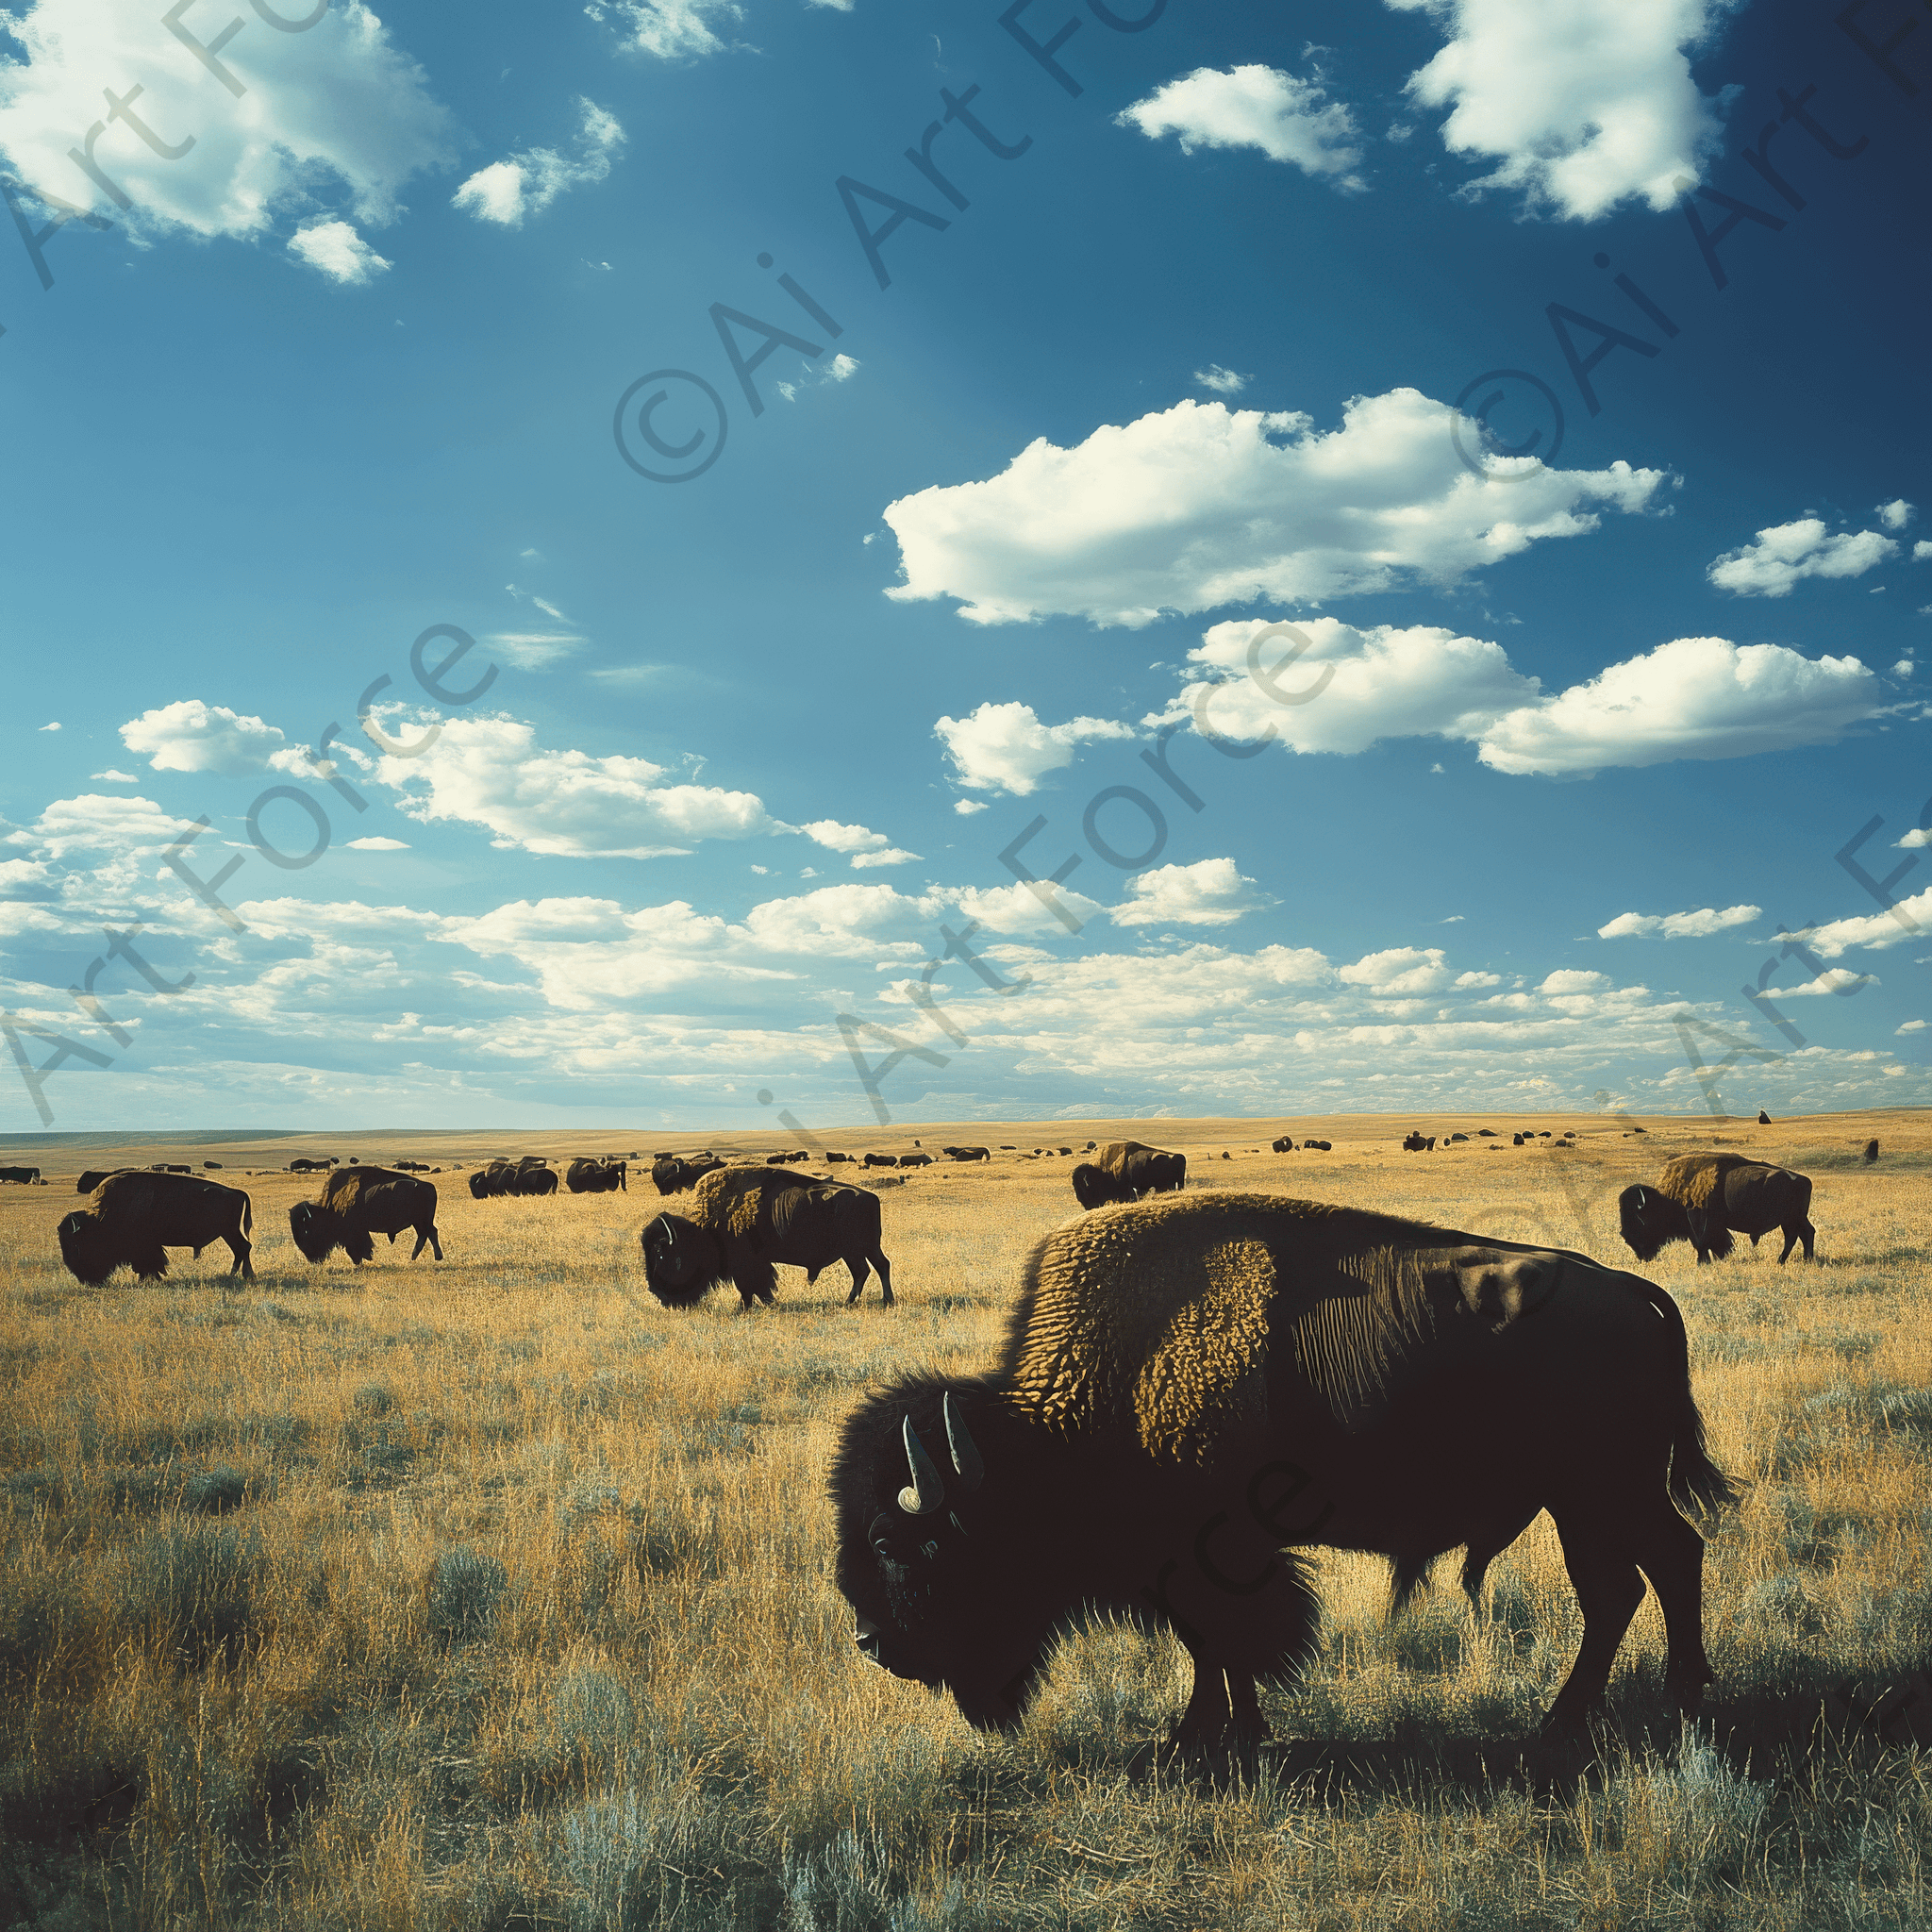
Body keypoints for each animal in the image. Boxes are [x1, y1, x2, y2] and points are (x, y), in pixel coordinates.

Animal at [58, 1171, 255, 1285]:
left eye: (77, 1245)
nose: (86, 1281)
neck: (101, 1218)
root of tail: (236, 1192)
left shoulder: (145, 1248)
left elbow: (151, 1264)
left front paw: (148, 1280)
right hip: (228, 1232)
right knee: (241, 1249)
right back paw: (235, 1275)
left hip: (229, 1231)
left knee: (243, 1248)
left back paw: (243, 1275)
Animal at [289, 1167, 442, 1266]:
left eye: (307, 1230)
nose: (313, 1259)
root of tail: (430, 1186)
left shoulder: (355, 1232)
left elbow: (359, 1247)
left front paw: (361, 1260)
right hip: (419, 1222)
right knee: (427, 1234)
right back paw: (422, 1257)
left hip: (422, 1221)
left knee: (429, 1233)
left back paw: (428, 1257)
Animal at [642, 1165, 893, 1310]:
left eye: (662, 1254)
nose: (658, 1294)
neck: (705, 1228)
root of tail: (871, 1197)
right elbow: (753, 1288)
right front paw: (754, 1306)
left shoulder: (747, 1265)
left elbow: (753, 1287)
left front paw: (749, 1307)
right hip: (854, 1251)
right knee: (864, 1271)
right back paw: (850, 1302)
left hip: (862, 1248)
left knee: (880, 1266)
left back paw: (885, 1301)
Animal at [832, 1191, 1737, 1758]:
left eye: (905, 1545)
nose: (871, 1643)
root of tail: (1635, 1292)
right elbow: (1218, 1649)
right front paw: (1226, 1732)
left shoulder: (1214, 1558)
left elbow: (1222, 1643)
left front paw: (1202, 1738)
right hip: (1590, 1501)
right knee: (1640, 1578)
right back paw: (1631, 1707)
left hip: (1601, 1493)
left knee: (1644, 1575)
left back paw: (1627, 1709)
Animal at [1619, 1155, 1815, 1266]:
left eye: (1639, 1220)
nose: (1642, 1257)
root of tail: (1803, 1179)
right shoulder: (1713, 1224)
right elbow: (1716, 1241)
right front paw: (1718, 1258)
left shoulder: (1697, 1219)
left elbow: (1701, 1241)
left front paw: (1702, 1263)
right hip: (1795, 1219)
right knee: (1806, 1233)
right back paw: (1805, 1260)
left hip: (1790, 1219)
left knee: (1794, 1236)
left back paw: (1784, 1260)